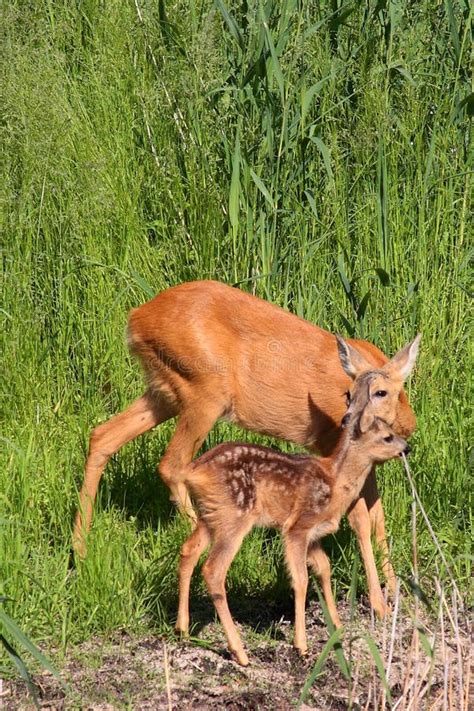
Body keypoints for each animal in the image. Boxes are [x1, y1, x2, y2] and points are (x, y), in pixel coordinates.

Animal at [72, 280, 420, 620]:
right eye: (347, 394)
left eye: (380, 392)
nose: (349, 421)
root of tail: (136, 318)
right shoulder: (332, 446)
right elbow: (361, 519)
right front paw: (380, 604)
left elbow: (377, 517)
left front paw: (396, 589)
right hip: (205, 389)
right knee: (171, 464)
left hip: (165, 391)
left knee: (102, 435)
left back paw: (80, 547)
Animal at [176, 358, 410, 664]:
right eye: (386, 437)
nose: (408, 447)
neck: (335, 482)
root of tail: (193, 473)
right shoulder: (297, 527)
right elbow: (300, 580)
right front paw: (302, 644)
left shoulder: (314, 534)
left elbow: (324, 569)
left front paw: (337, 625)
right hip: (233, 518)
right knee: (214, 569)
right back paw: (239, 652)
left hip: (208, 515)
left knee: (188, 551)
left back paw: (182, 628)